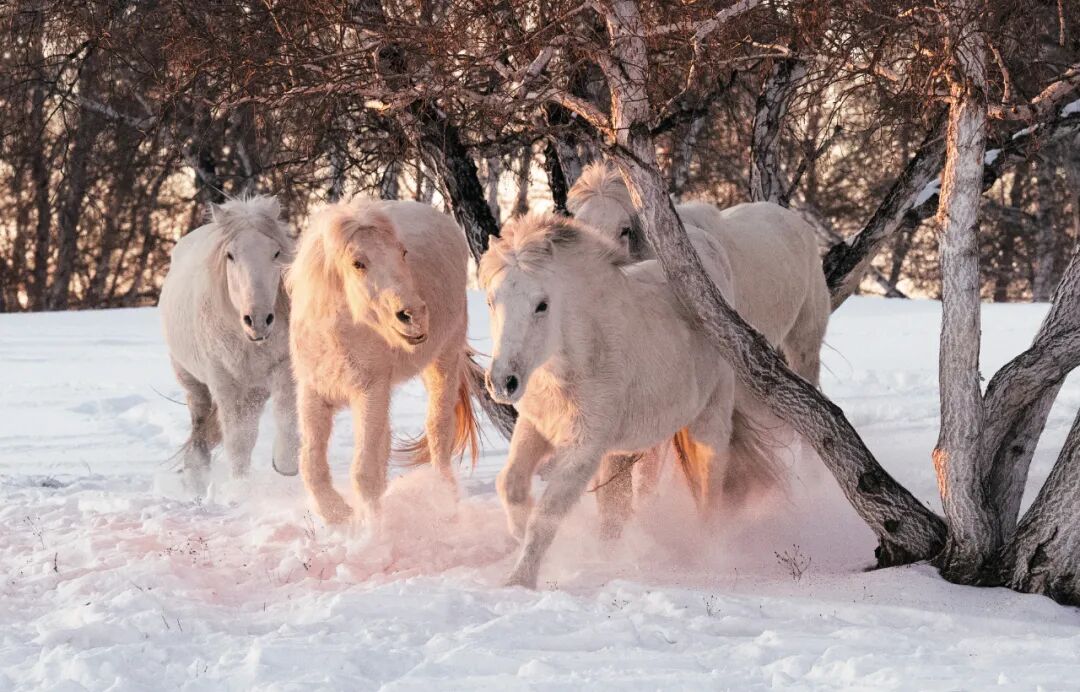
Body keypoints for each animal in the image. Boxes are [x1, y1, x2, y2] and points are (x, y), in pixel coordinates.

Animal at [159, 195, 298, 494]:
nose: (258, 320)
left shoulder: (282, 369)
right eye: (230, 255)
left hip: (255, 391)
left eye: (275, 253)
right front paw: (240, 489)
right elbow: (238, 441)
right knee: (201, 424)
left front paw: (284, 467)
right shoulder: (224, 382)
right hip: (192, 381)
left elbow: (286, 420)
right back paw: (197, 477)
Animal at [287, 199, 484, 524]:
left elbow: (364, 471)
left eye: (402, 253)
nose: (413, 315)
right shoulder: (313, 392)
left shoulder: (370, 389)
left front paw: (371, 526)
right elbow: (312, 465)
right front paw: (339, 515)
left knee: (439, 429)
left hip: (444, 359)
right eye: (358, 263)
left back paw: (445, 497)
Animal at [479, 212, 783, 588]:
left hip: (710, 420)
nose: (502, 383)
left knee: (710, 486)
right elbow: (510, 484)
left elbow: (547, 514)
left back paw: (709, 554)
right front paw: (518, 536)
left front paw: (519, 580)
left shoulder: (585, 447)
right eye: (491, 300)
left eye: (542, 305)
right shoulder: (535, 426)